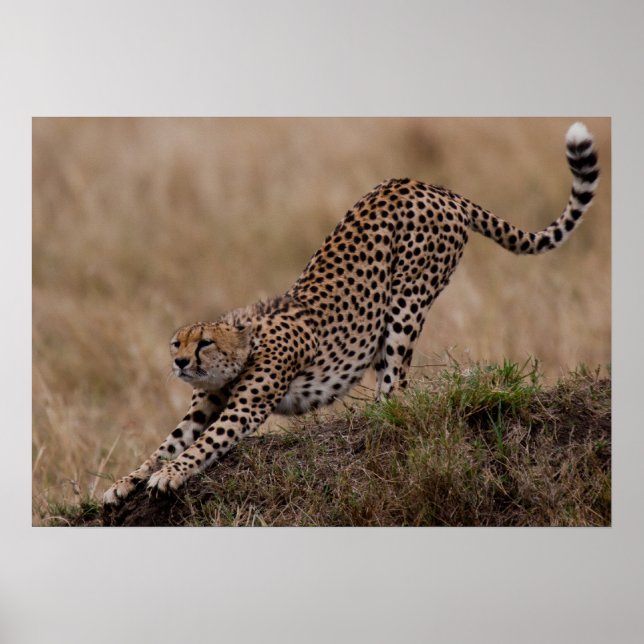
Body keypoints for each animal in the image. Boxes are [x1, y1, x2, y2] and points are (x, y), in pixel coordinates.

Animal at [103, 122, 599, 504]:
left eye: (204, 343)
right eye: (177, 342)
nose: (179, 362)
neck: (245, 346)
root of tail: (428, 185)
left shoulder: (244, 407)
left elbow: (204, 444)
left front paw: (170, 475)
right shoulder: (204, 405)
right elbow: (165, 444)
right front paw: (124, 481)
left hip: (408, 300)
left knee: (396, 382)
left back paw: (380, 419)